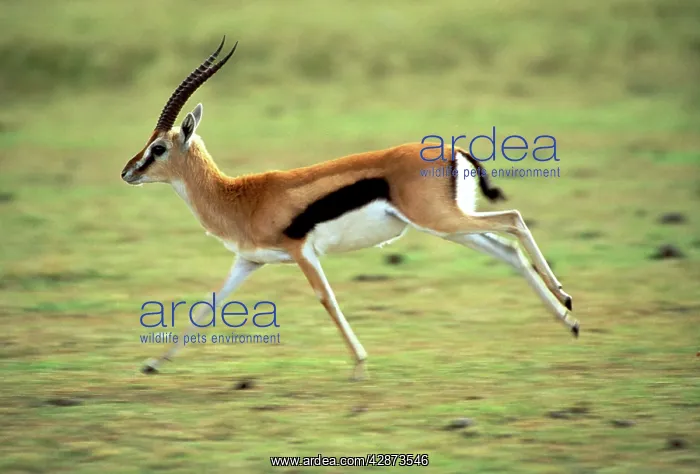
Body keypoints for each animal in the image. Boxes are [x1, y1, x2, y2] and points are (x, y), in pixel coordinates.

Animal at [121, 37, 579, 380]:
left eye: (158, 147)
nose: (126, 171)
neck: (239, 197)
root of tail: (455, 150)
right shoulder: (249, 261)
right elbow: (209, 304)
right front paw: (152, 363)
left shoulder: (302, 251)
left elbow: (327, 299)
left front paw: (359, 365)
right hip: (449, 227)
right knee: (508, 250)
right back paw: (568, 321)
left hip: (442, 221)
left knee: (513, 221)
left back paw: (567, 300)